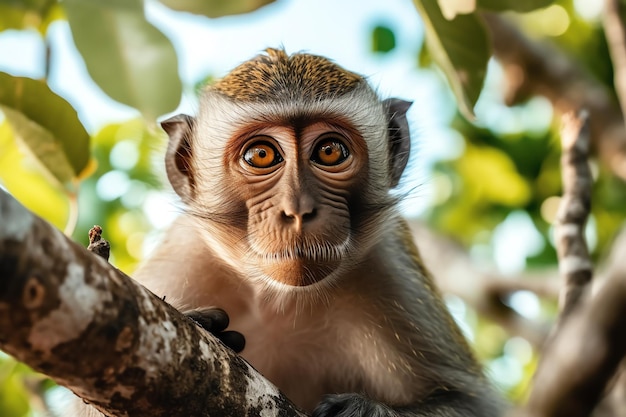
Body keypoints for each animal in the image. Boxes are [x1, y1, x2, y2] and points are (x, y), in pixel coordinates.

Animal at [68, 47, 500, 414]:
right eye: (261, 155)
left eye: (330, 151)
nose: (297, 210)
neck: (280, 300)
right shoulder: (181, 257)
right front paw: (208, 326)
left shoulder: (393, 267)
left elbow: (470, 402)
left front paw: (366, 411)